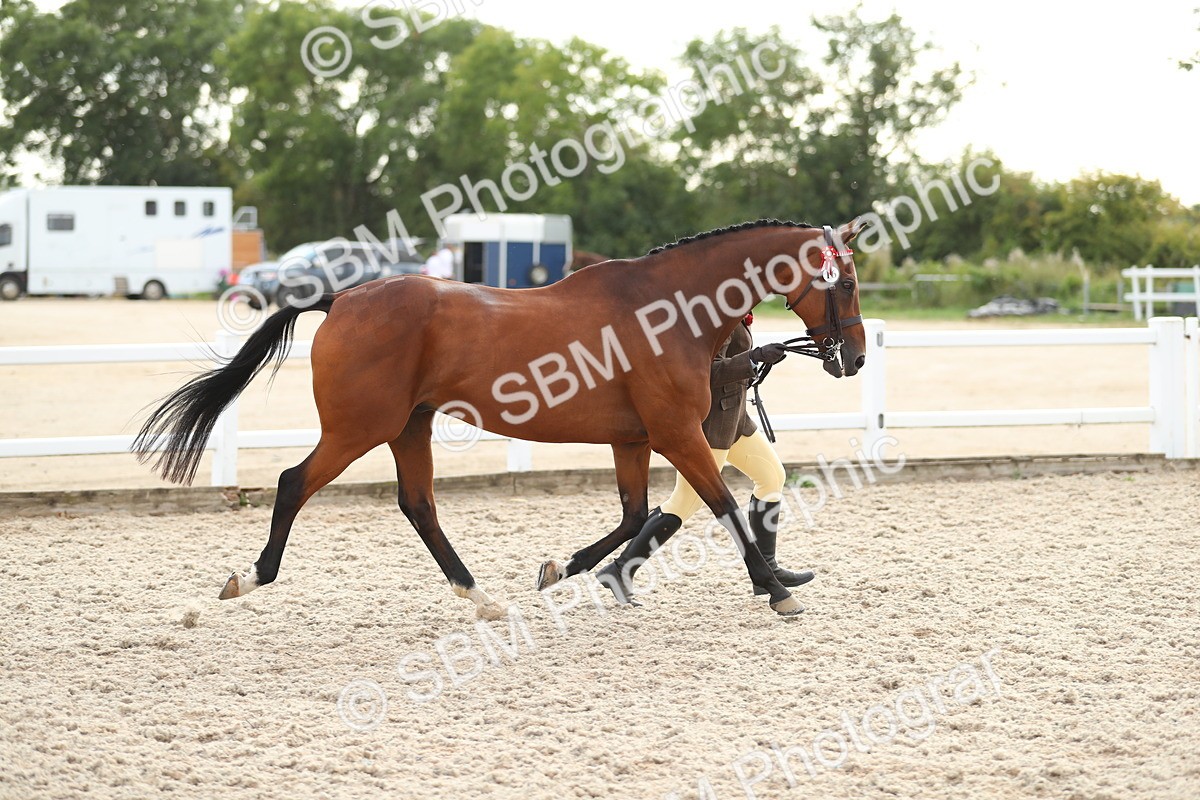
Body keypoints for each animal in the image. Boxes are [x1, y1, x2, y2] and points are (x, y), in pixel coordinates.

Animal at [133, 218, 865, 619]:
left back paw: (479, 595)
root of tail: (341, 298)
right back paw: (248, 578)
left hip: (409, 427)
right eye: (849, 282)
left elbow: (638, 514)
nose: (854, 357)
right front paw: (776, 590)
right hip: (358, 429)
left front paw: (566, 568)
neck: (667, 310)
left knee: (418, 504)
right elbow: (723, 507)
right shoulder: (677, 435)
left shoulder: (634, 439)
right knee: (293, 484)